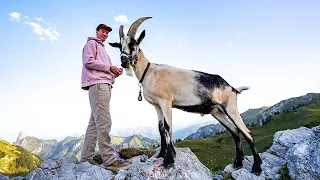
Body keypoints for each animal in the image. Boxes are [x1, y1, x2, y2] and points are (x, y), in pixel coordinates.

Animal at [110, 16, 262, 174]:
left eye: (133, 44)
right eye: (120, 46)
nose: (123, 61)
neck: (150, 72)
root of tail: (231, 88)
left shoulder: (166, 101)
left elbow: (168, 127)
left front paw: (169, 159)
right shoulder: (157, 105)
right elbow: (160, 128)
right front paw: (161, 154)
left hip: (230, 106)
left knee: (246, 132)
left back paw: (256, 167)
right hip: (217, 111)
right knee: (235, 132)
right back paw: (238, 162)